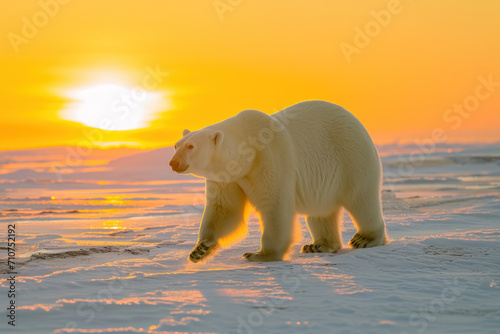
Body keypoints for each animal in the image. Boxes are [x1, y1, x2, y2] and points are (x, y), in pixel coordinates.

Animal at [170, 100, 388, 262]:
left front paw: (260, 254)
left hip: (351, 156)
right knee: (320, 210)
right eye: (176, 145)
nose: (173, 162)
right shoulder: (228, 177)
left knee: (361, 199)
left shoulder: (269, 157)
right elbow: (225, 209)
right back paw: (318, 245)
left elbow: (274, 204)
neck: (247, 151)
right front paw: (199, 249)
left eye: (191, 146)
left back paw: (365, 239)